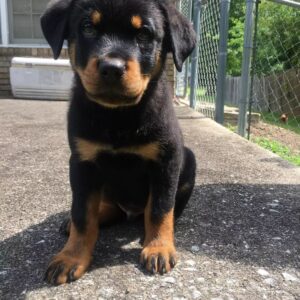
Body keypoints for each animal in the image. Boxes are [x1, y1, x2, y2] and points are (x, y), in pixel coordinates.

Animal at [41, 0, 197, 284]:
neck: (117, 116)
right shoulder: (82, 162)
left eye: (144, 33)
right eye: (88, 27)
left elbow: (160, 208)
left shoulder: (167, 159)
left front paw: (158, 247)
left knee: (159, 210)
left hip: (188, 159)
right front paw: (71, 257)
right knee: (107, 209)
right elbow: (82, 214)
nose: (112, 68)